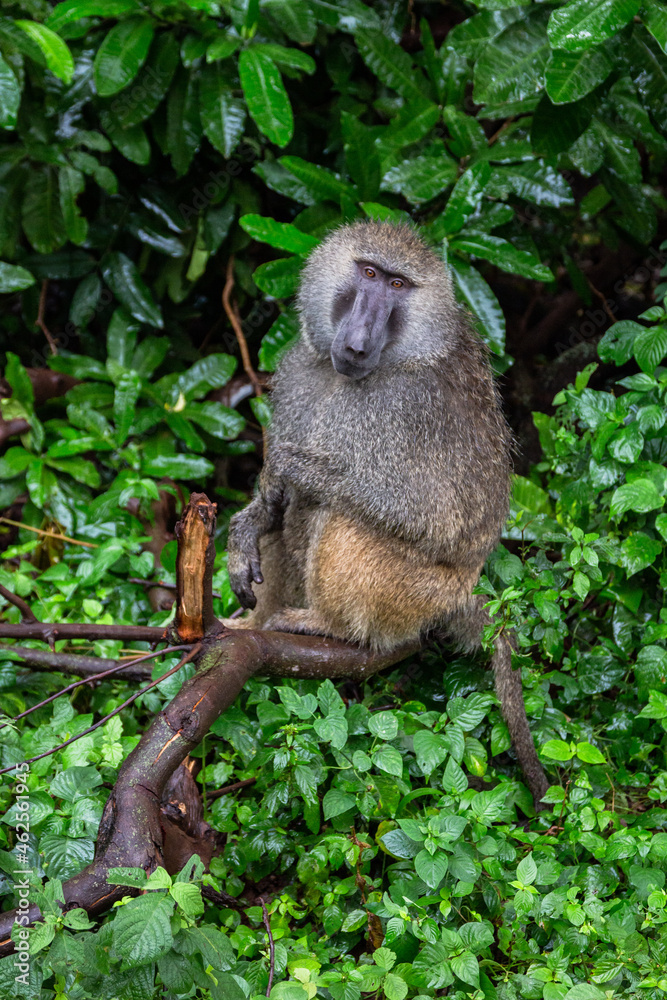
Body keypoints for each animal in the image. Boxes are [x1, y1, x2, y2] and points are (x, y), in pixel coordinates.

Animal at [224, 221, 549, 807]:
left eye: (399, 285)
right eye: (369, 273)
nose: (356, 341)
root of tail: (462, 594)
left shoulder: (411, 408)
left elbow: (434, 517)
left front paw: (286, 466)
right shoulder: (299, 368)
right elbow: (271, 508)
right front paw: (247, 523)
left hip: (417, 592)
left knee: (341, 518)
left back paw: (326, 625)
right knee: (290, 520)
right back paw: (252, 626)